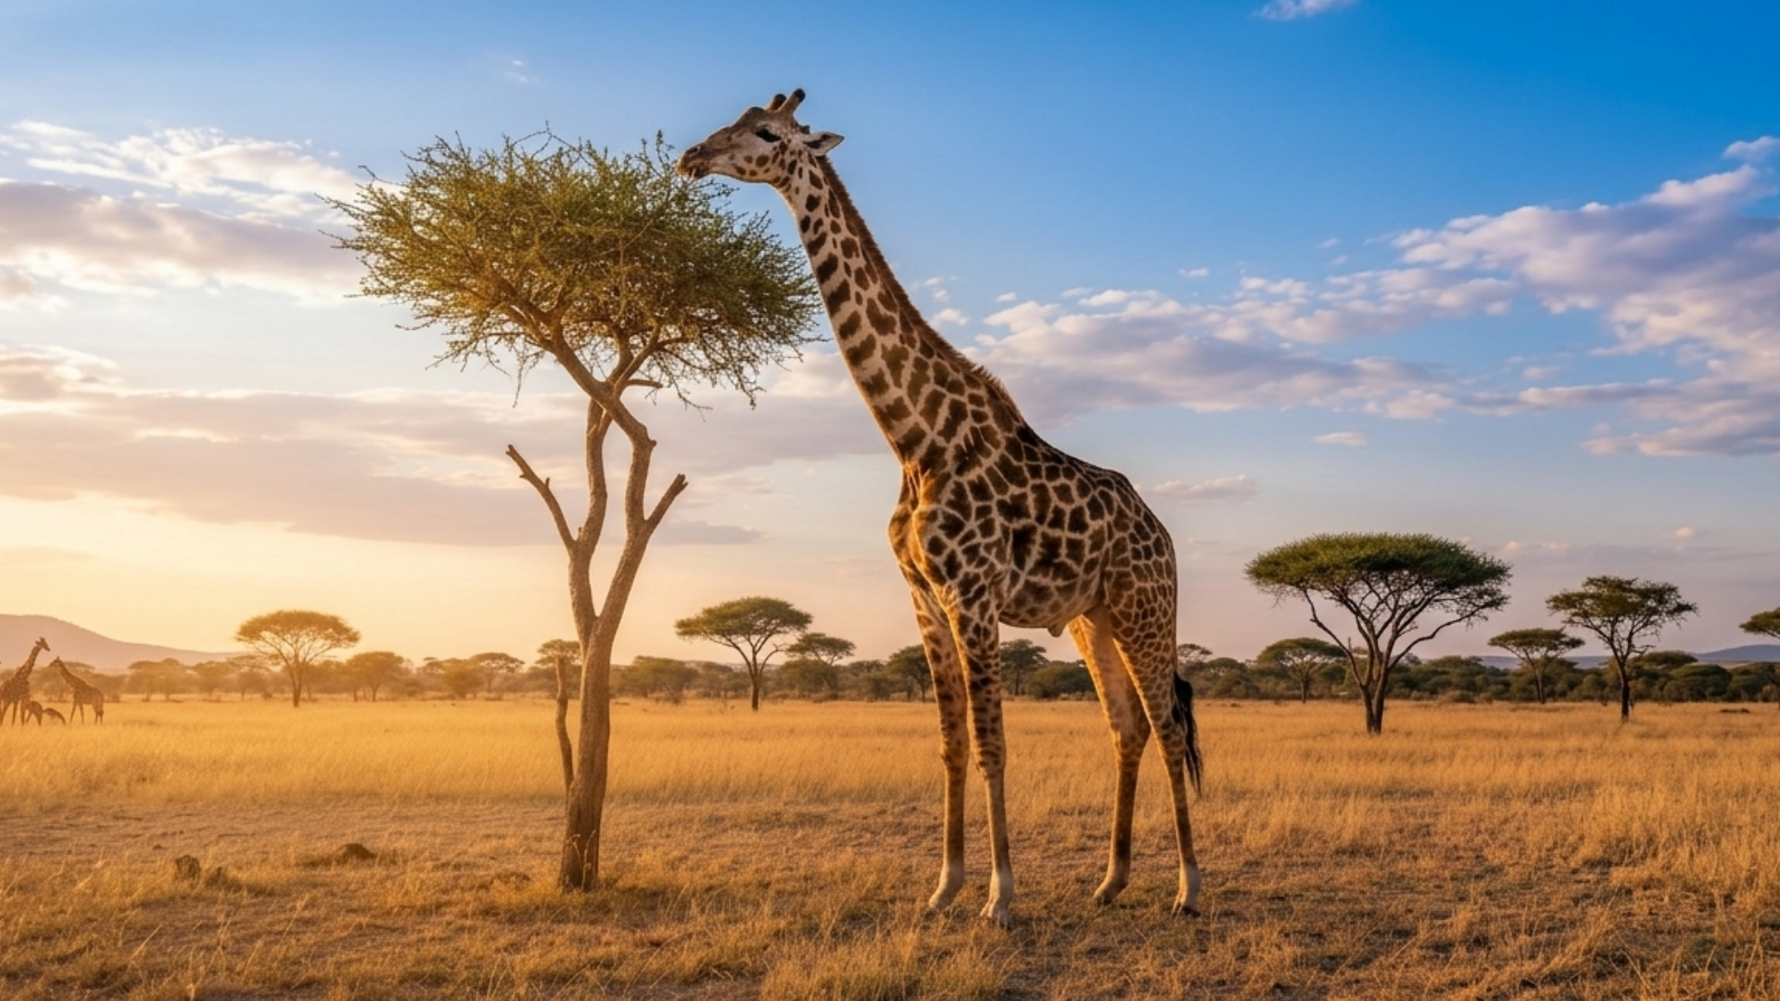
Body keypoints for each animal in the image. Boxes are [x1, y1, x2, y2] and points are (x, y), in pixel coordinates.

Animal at [680, 90, 1204, 924]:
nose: (691, 156)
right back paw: (1112, 879)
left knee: (1169, 722)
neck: (914, 438)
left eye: (764, 132)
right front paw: (944, 885)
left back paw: (1188, 886)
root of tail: (1164, 534)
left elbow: (993, 743)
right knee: (1127, 727)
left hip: (1147, 610)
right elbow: (952, 742)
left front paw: (1001, 896)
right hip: (1092, 617)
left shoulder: (974, 596)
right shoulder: (924, 597)